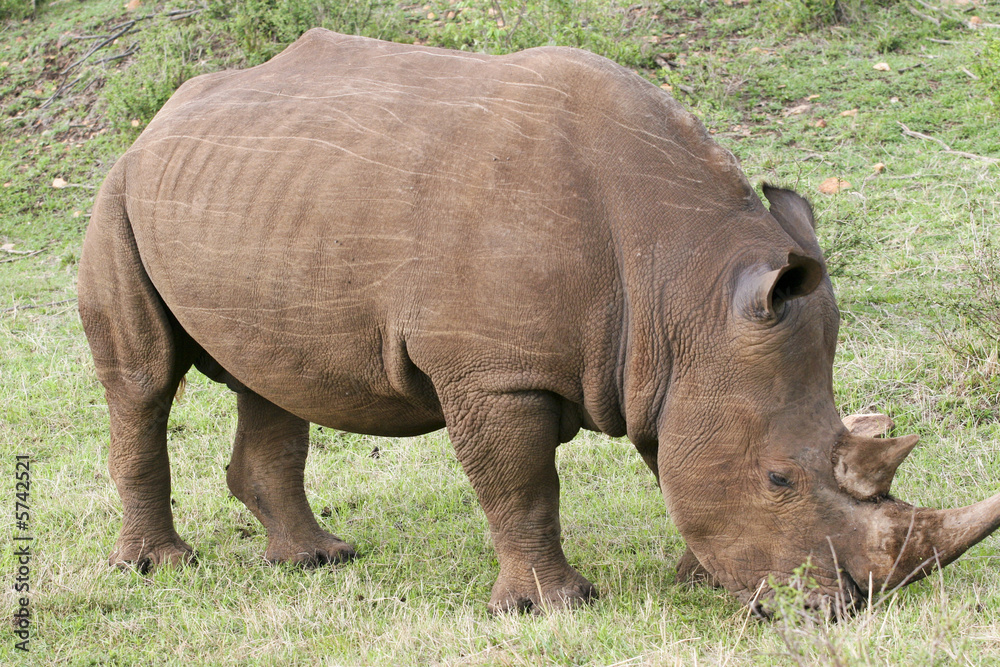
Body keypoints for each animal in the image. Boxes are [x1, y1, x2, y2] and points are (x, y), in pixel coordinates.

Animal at [78, 31, 1000, 616]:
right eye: (780, 479)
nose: (841, 611)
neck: (686, 286)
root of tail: (163, 115)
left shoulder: (669, 363)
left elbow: (669, 463)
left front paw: (701, 582)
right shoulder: (496, 372)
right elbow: (521, 484)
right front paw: (551, 608)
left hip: (254, 197)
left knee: (272, 374)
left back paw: (317, 558)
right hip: (117, 188)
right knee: (143, 378)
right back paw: (157, 569)